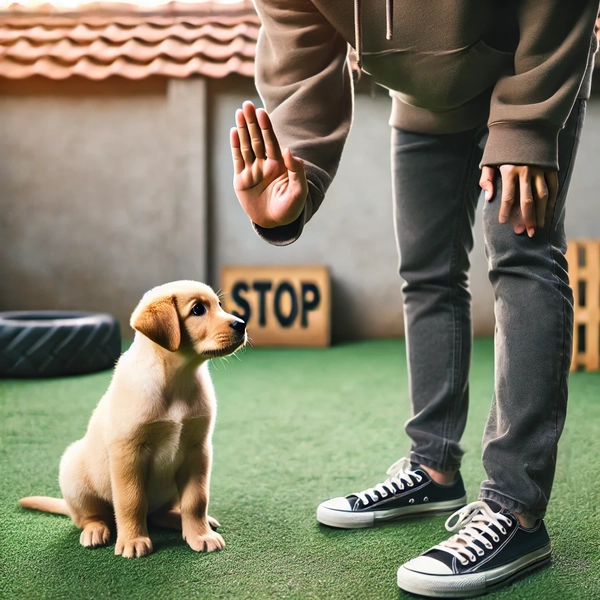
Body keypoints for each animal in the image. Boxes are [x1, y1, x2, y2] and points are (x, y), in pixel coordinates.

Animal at [19, 282, 246, 556]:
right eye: (198, 309)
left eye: (219, 305)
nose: (242, 324)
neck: (176, 380)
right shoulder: (128, 453)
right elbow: (132, 501)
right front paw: (133, 541)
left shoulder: (197, 451)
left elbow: (197, 500)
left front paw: (200, 534)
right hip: (73, 474)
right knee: (92, 516)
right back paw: (96, 530)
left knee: (159, 513)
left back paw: (183, 520)